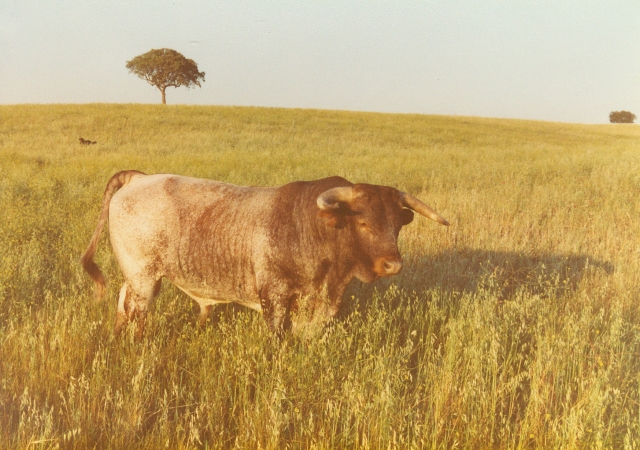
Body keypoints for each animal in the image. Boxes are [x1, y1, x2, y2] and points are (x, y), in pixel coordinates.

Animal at [81, 171, 450, 336]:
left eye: (397, 225)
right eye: (363, 222)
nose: (393, 264)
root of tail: (139, 178)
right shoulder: (274, 298)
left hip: (136, 277)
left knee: (122, 304)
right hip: (144, 278)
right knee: (136, 313)